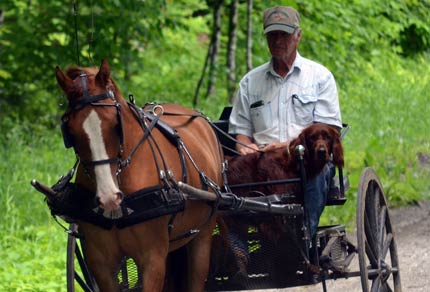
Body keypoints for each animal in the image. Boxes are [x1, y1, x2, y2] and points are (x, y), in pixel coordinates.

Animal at [55, 60, 223, 292]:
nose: (109, 198)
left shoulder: (153, 259)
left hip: (203, 234)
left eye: (115, 125)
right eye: (70, 131)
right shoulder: (100, 262)